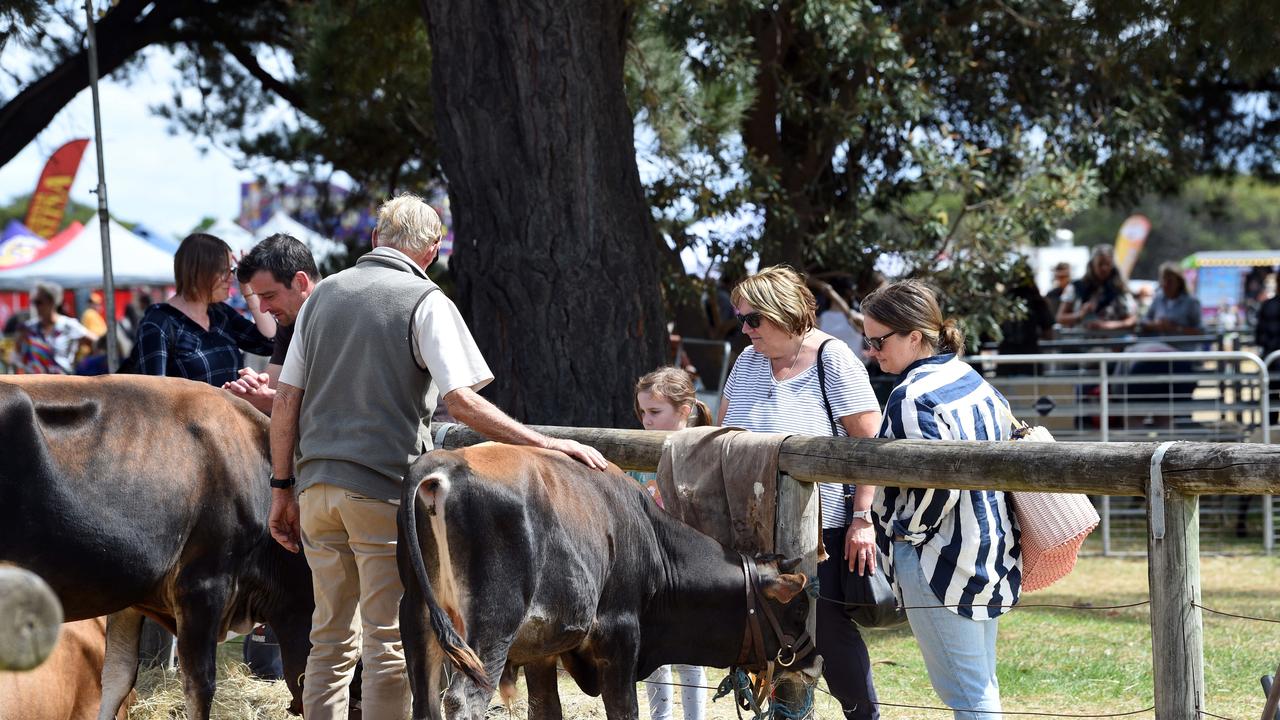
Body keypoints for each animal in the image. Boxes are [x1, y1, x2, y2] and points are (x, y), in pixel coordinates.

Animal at [396, 443, 808, 717]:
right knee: (462, 701)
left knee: (424, 698)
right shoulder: (619, 636)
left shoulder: (541, 650)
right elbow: (625, 710)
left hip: (417, 619)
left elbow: (546, 709)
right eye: (797, 612)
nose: (811, 661)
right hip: (492, 627)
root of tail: (444, 463)